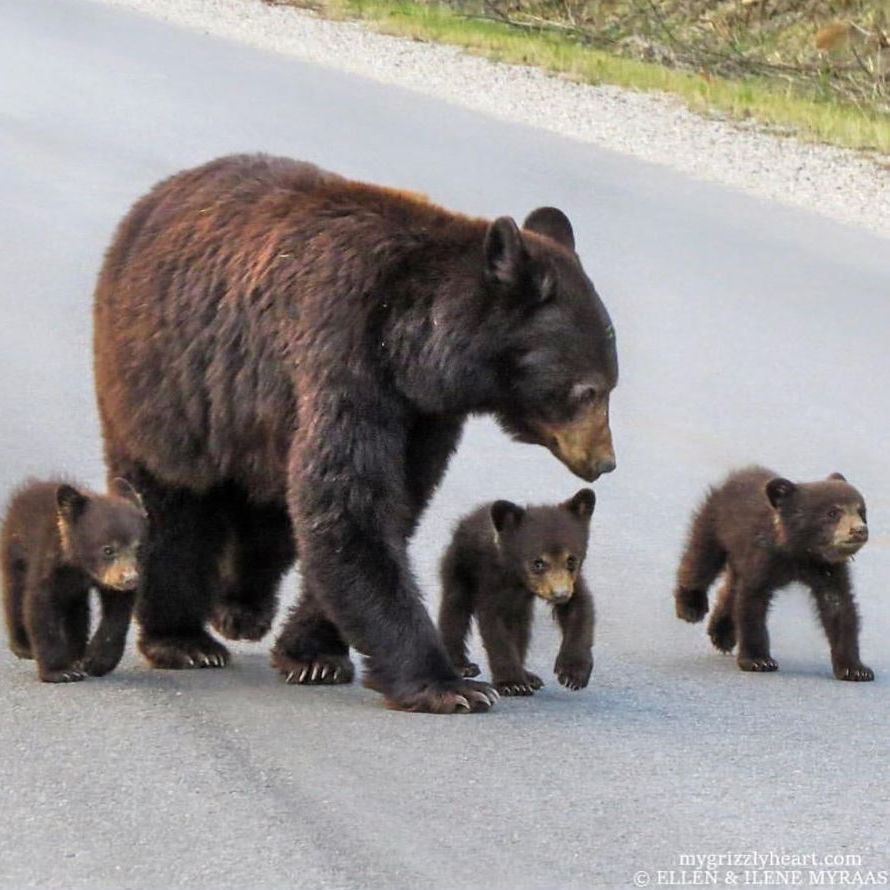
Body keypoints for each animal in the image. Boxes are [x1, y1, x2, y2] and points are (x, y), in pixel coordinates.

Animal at [1, 478, 147, 682]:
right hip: (15, 551)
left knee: (77, 610)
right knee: (14, 594)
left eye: (138, 548)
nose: (129, 579)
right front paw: (61, 671)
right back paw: (23, 646)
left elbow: (118, 611)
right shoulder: (48, 561)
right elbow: (39, 606)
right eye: (108, 550)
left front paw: (96, 661)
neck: (80, 568)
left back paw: (76, 654)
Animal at [438, 489, 596, 696]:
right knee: (454, 610)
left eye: (571, 560)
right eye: (537, 563)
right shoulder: (492, 579)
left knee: (521, 625)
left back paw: (529, 676)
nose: (560, 594)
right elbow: (494, 624)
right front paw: (512, 683)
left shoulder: (573, 582)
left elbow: (579, 608)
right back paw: (462, 666)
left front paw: (573, 674)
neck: (518, 579)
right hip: (459, 566)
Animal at [673, 466, 873, 681]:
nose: (859, 530)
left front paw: (856, 669)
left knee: (730, 586)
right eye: (833, 512)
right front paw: (758, 660)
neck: (799, 551)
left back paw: (722, 633)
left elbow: (838, 606)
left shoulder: (828, 568)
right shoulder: (762, 556)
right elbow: (752, 602)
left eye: (861, 511)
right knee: (701, 561)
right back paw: (690, 607)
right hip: (714, 524)